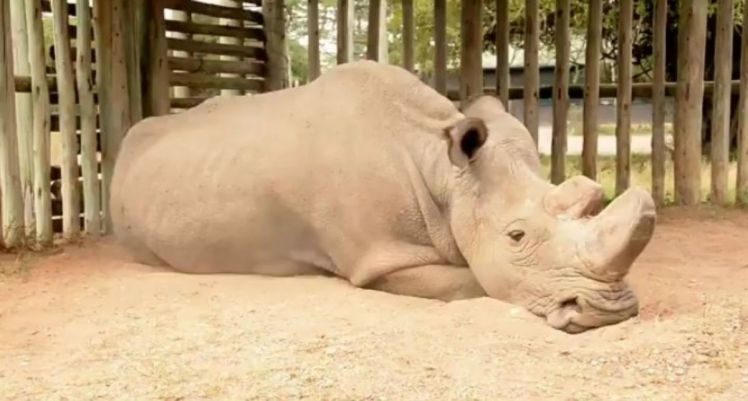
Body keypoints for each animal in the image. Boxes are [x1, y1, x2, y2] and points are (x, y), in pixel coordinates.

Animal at [111, 60, 656, 333]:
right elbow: (475, 283)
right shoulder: (381, 259)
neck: (445, 171)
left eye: (592, 196)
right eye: (516, 236)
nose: (612, 312)